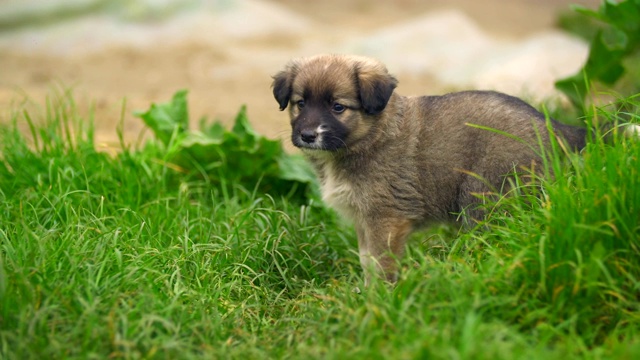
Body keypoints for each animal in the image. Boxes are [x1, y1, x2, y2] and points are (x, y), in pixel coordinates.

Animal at [270, 53, 584, 284]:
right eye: (300, 104)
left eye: (338, 107)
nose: (307, 135)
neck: (369, 137)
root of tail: (550, 126)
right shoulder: (364, 218)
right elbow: (367, 260)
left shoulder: (386, 218)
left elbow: (382, 264)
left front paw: (379, 299)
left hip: (485, 196)